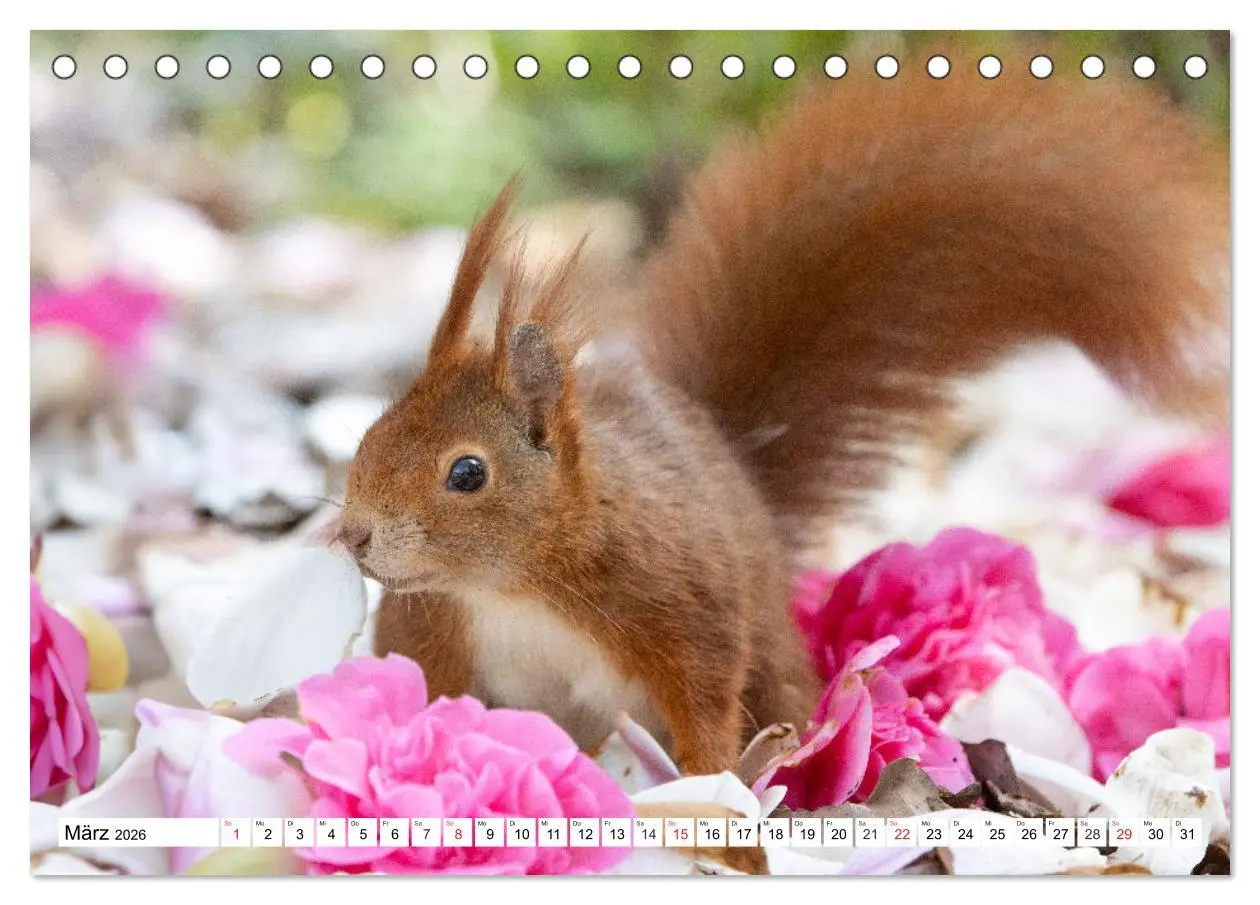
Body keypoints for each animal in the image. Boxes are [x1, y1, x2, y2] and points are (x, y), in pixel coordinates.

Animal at [338, 72, 1228, 778]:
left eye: (467, 472)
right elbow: (426, 697)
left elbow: (703, 699)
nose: (353, 534)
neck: (516, 582)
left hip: (768, 648)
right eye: (371, 434)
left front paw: (712, 786)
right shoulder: (435, 634)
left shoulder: (680, 603)